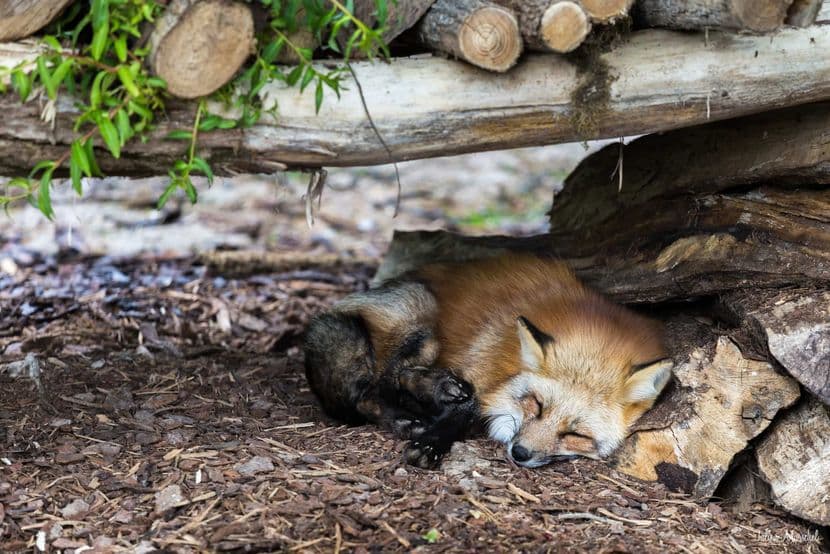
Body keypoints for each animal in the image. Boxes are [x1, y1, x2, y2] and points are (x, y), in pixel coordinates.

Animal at [304, 253, 673, 469]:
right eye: (536, 404)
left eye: (575, 434)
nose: (520, 453)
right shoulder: (479, 357)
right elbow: (468, 405)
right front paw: (433, 443)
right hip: (420, 315)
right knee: (375, 390)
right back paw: (411, 412)